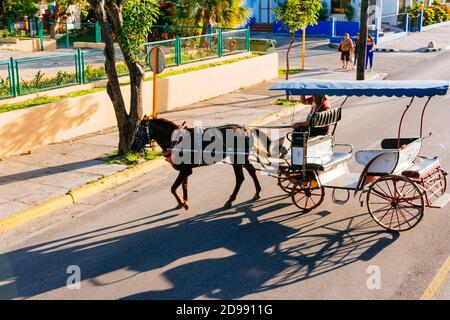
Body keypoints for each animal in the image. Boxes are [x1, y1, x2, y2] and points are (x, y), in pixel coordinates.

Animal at [130, 117, 270, 210]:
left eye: (139, 131)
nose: (132, 148)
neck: (176, 141)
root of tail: (244, 129)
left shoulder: (185, 170)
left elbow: (173, 188)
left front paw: (182, 203)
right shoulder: (186, 171)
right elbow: (184, 186)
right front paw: (184, 201)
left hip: (236, 158)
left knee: (240, 178)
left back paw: (230, 200)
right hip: (241, 158)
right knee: (251, 171)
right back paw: (257, 192)